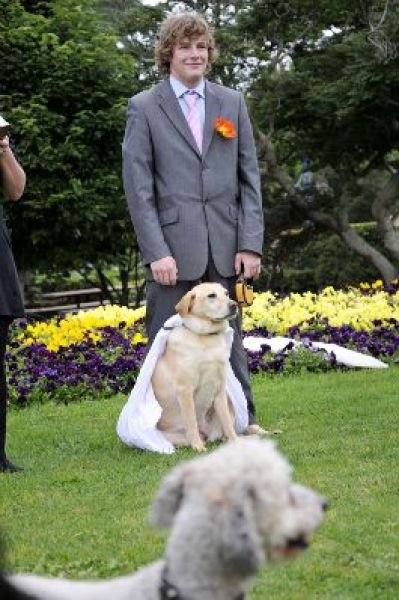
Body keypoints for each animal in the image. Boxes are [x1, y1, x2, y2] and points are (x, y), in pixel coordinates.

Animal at [152, 282, 239, 450]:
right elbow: (191, 421)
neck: (206, 338)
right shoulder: (185, 389)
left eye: (226, 293)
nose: (234, 305)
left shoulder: (220, 389)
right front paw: (198, 447)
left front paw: (236, 442)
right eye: (211, 295)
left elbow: (226, 422)